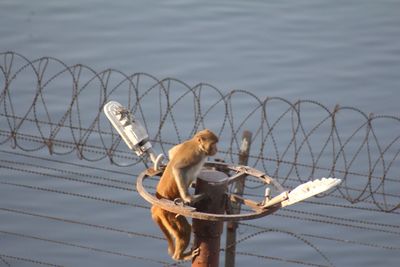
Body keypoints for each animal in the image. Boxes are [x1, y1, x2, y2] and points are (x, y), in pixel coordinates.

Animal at [151, 130, 219, 262]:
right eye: (213, 144)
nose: (216, 149)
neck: (197, 145)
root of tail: (156, 206)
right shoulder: (194, 155)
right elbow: (178, 169)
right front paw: (188, 198)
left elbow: (172, 151)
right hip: (169, 214)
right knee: (184, 230)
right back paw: (180, 256)